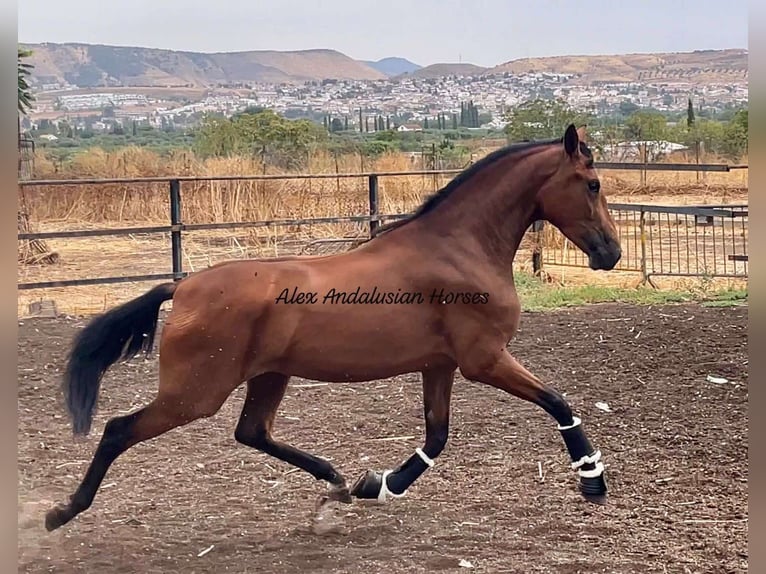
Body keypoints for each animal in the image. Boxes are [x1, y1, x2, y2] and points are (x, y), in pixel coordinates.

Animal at [45, 126, 624, 536]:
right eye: (593, 184)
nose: (612, 254)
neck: (461, 247)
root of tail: (182, 287)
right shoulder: (484, 359)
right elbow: (557, 401)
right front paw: (592, 479)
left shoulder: (440, 365)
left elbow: (437, 436)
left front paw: (378, 486)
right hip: (195, 393)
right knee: (119, 429)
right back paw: (62, 512)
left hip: (268, 376)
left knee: (251, 432)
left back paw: (338, 483)